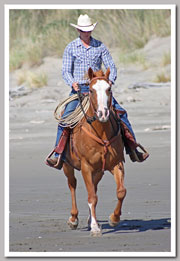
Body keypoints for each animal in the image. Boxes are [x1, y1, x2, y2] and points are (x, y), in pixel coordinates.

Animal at [62, 67, 126, 236]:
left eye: (109, 89)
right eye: (91, 90)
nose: (103, 113)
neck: (101, 132)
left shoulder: (117, 164)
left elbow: (121, 192)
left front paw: (114, 218)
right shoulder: (86, 167)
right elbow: (92, 197)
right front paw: (96, 228)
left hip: (99, 171)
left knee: (94, 187)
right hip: (67, 166)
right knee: (72, 184)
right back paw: (73, 219)